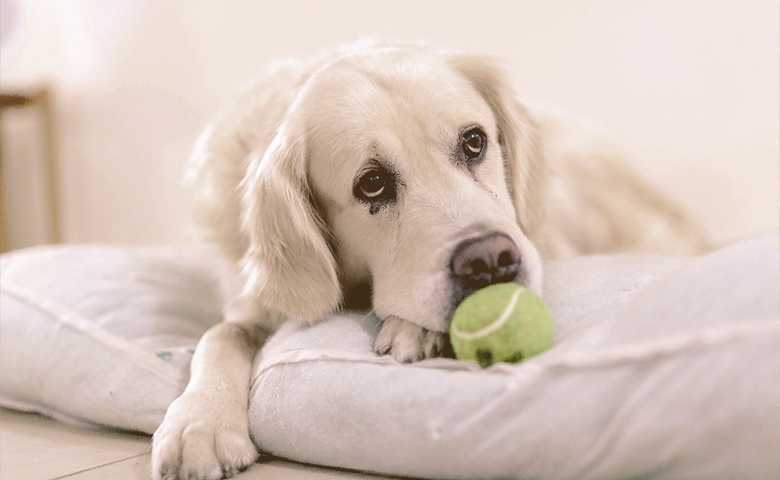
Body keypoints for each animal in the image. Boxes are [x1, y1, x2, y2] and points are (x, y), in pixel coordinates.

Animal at [149, 42, 708, 480]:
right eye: (372, 183)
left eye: (475, 141)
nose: (490, 261)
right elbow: (220, 334)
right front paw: (198, 422)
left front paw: (414, 327)